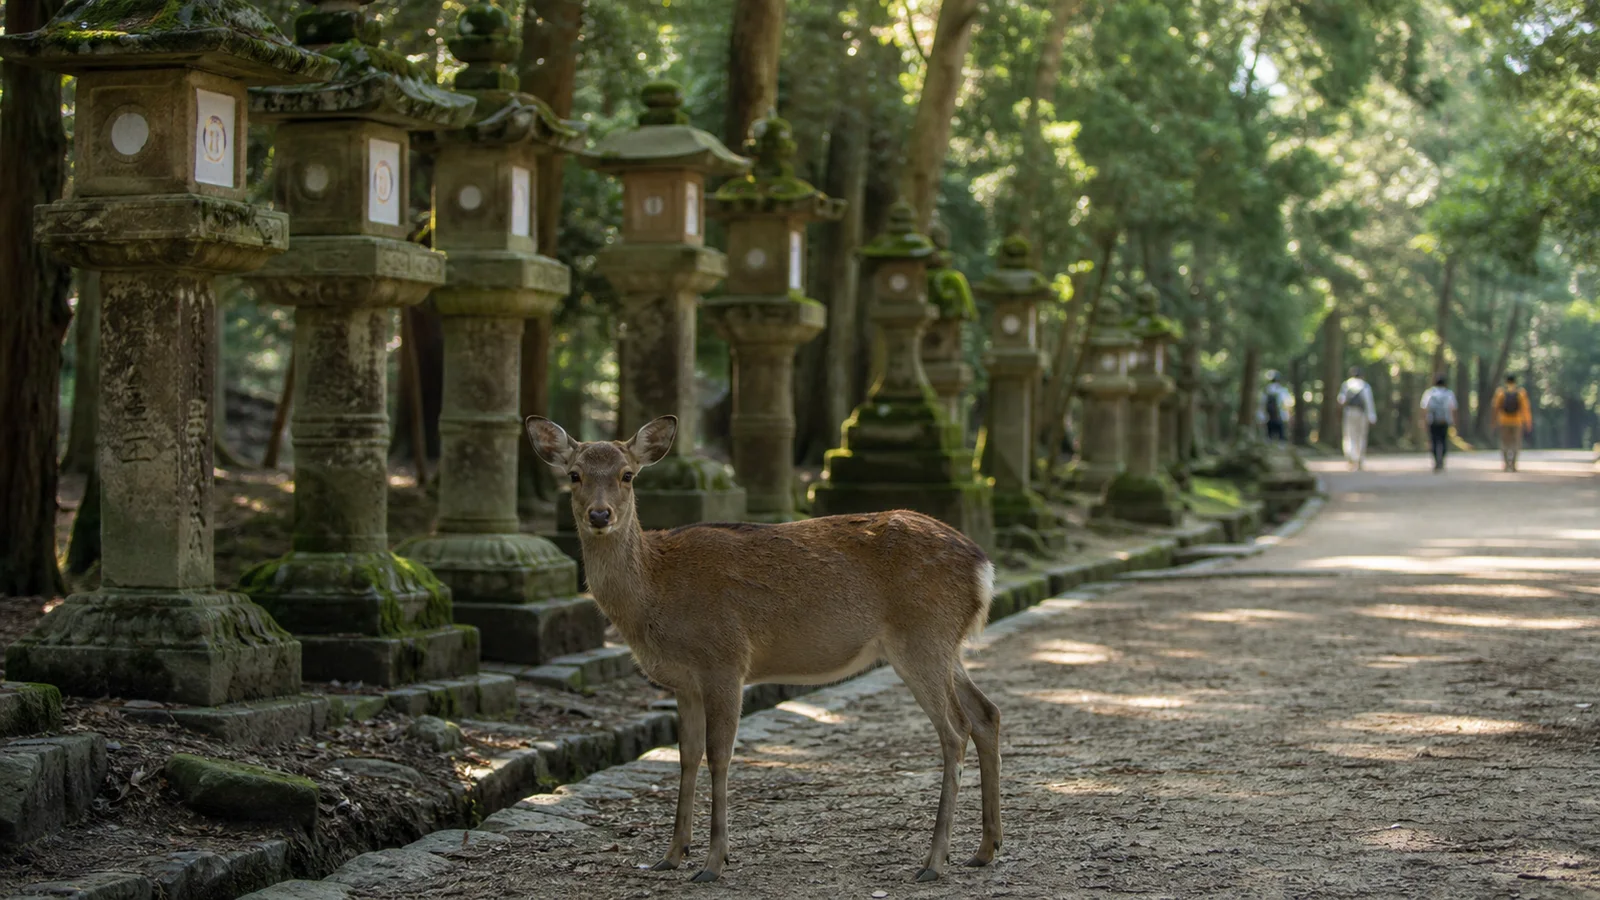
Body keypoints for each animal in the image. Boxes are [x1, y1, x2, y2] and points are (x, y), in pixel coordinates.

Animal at [524, 414, 1002, 884]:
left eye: (627, 474)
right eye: (574, 475)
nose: (599, 514)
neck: (653, 594)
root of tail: (984, 568)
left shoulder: (724, 660)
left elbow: (720, 755)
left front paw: (713, 863)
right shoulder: (684, 681)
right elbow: (686, 756)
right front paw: (671, 855)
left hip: (922, 639)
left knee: (954, 730)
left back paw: (934, 861)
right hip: (945, 646)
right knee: (986, 713)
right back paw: (984, 850)